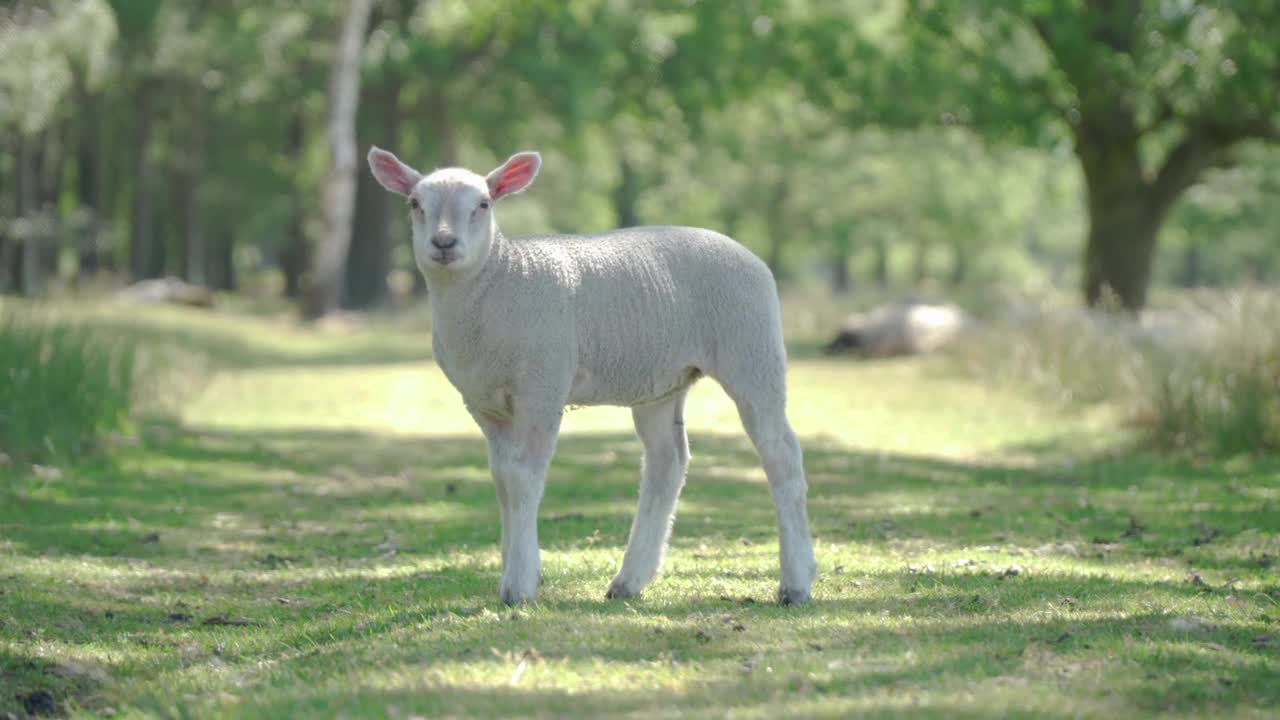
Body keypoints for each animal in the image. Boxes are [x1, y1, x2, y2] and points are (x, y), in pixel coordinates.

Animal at [368, 147, 819, 604]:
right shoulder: (484, 403)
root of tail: (751, 257)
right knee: (667, 461)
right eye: (414, 204)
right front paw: (511, 569)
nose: (443, 243)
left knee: (782, 456)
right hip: (662, 379)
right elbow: (502, 481)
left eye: (483, 204)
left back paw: (796, 583)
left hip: (751, 351)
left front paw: (520, 583)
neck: (499, 280)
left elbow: (523, 478)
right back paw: (630, 580)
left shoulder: (542, 385)